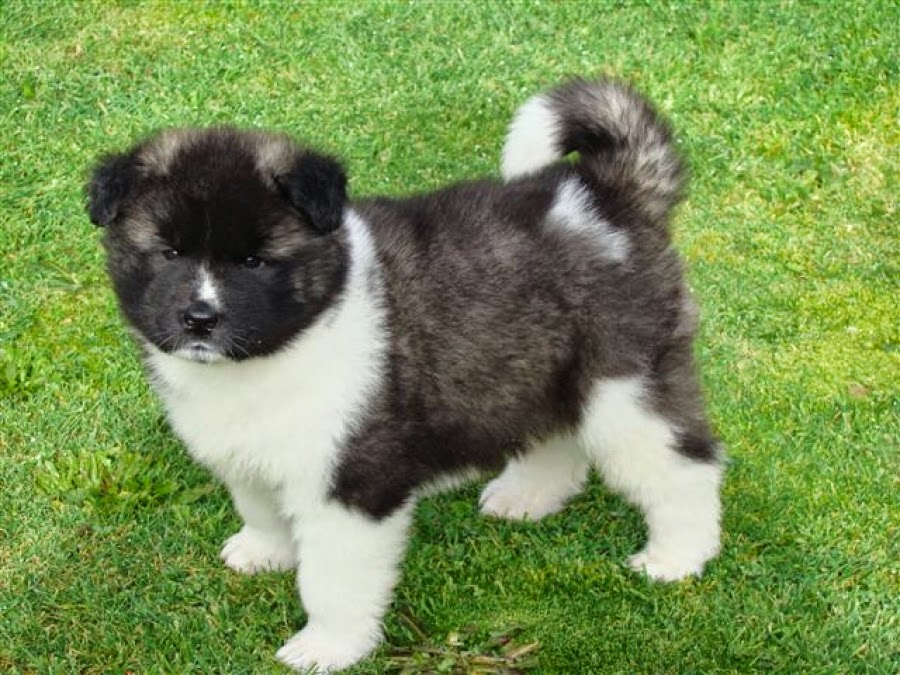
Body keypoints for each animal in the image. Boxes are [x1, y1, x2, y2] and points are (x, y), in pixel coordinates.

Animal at [88, 78, 724, 672]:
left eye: (253, 261)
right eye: (169, 253)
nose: (200, 318)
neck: (278, 350)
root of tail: (605, 198)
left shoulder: (352, 483)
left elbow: (332, 580)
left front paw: (326, 648)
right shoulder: (251, 450)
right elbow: (261, 509)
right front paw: (264, 553)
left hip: (625, 381)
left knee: (684, 467)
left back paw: (676, 558)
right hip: (543, 366)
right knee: (556, 435)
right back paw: (527, 497)